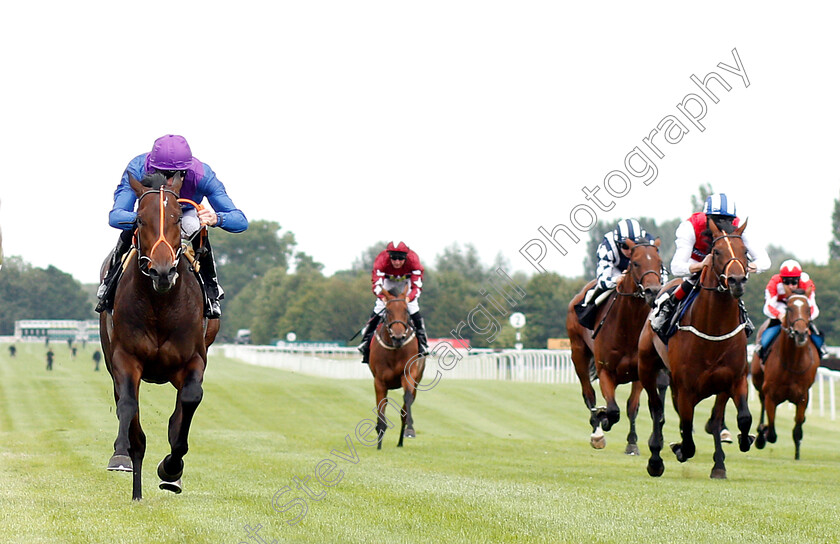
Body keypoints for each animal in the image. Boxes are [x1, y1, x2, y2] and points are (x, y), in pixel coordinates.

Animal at [98, 174, 220, 502]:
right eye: (140, 219)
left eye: (177, 218)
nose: (162, 271)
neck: (160, 304)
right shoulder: (125, 358)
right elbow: (128, 407)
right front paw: (121, 456)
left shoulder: (193, 360)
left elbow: (188, 405)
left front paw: (171, 469)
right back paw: (136, 490)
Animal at [368, 284, 424, 446]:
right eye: (387, 311)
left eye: (406, 310)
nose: (398, 337)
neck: (395, 350)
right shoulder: (379, 381)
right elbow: (381, 406)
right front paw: (379, 438)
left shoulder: (409, 375)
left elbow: (407, 400)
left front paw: (409, 429)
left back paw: (401, 440)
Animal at [568, 240, 668, 452]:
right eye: (635, 263)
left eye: (659, 262)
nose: (653, 291)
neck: (628, 328)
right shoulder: (605, 370)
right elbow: (613, 409)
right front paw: (604, 419)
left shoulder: (640, 372)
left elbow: (632, 406)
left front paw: (632, 443)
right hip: (578, 353)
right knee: (589, 394)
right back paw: (597, 431)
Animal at [636, 219, 756, 478]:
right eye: (717, 251)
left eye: (745, 251)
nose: (737, 281)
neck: (714, 330)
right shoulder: (686, 387)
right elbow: (687, 435)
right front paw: (678, 449)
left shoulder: (735, 378)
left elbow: (741, 418)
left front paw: (738, 445)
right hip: (647, 367)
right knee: (656, 410)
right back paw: (655, 460)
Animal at [752, 288, 816, 460]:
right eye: (789, 308)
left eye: (808, 309)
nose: (800, 333)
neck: (792, 362)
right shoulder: (771, 395)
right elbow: (772, 431)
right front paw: (763, 434)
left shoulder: (802, 396)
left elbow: (798, 429)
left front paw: (797, 455)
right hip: (758, 381)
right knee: (761, 404)